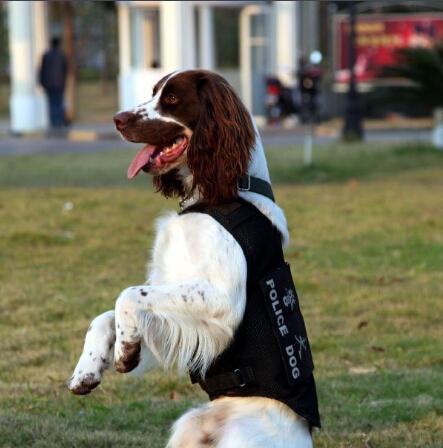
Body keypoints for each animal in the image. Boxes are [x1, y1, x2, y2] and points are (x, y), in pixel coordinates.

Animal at [67, 71, 320, 448]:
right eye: (154, 91)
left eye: (172, 99)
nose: (118, 119)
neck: (222, 194)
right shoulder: (174, 313)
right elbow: (106, 315)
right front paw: (89, 367)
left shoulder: (221, 303)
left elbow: (127, 294)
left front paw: (124, 347)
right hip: (189, 426)